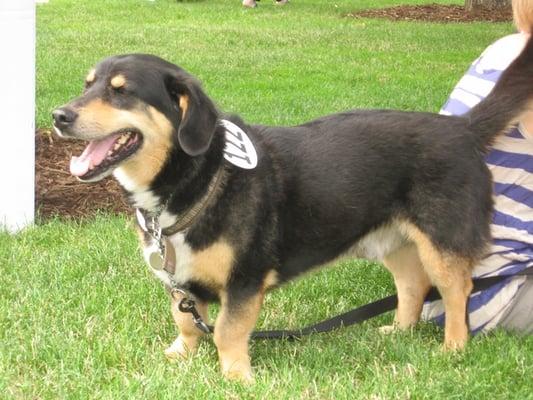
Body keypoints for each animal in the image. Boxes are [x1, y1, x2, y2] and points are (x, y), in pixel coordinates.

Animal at [53, 35, 532, 382]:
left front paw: (237, 377)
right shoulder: (180, 283)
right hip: (393, 242)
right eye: (87, 85)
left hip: (442, 241)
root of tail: (463, 129)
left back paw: (453, 348)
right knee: (413, 285)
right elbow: (187, 322)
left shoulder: (245, 279)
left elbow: (226, 330)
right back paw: (398, 331)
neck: (199, 177)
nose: (59, 116)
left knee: (456, 291)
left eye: (122, 92)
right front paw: (180, 355)